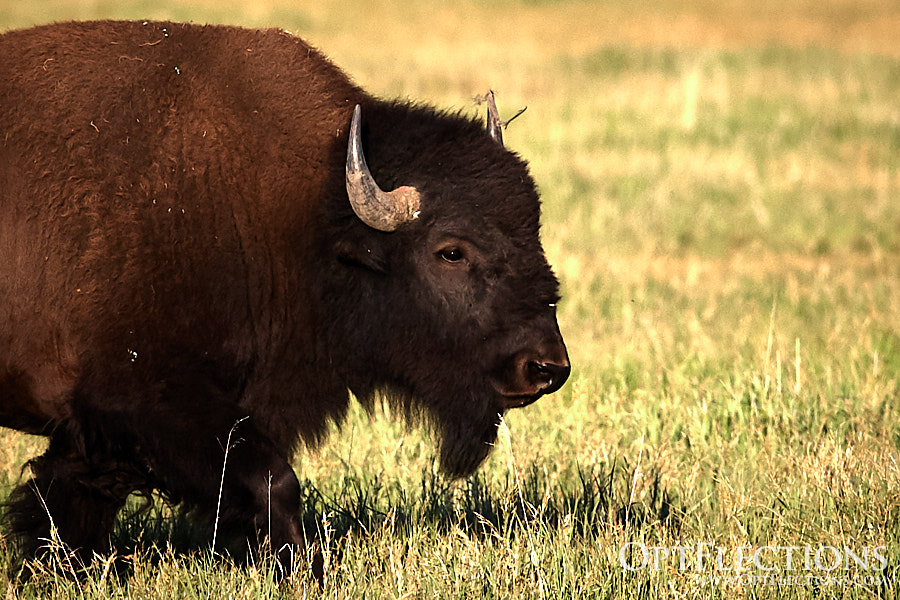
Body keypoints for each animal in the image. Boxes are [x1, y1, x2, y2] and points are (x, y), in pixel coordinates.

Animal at [0, 20, 569, 568]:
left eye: (534, 232)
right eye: (451, 252)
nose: (546, 368)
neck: (305, 218)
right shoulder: (150, 401)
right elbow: (275, 481)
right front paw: (304, 566)